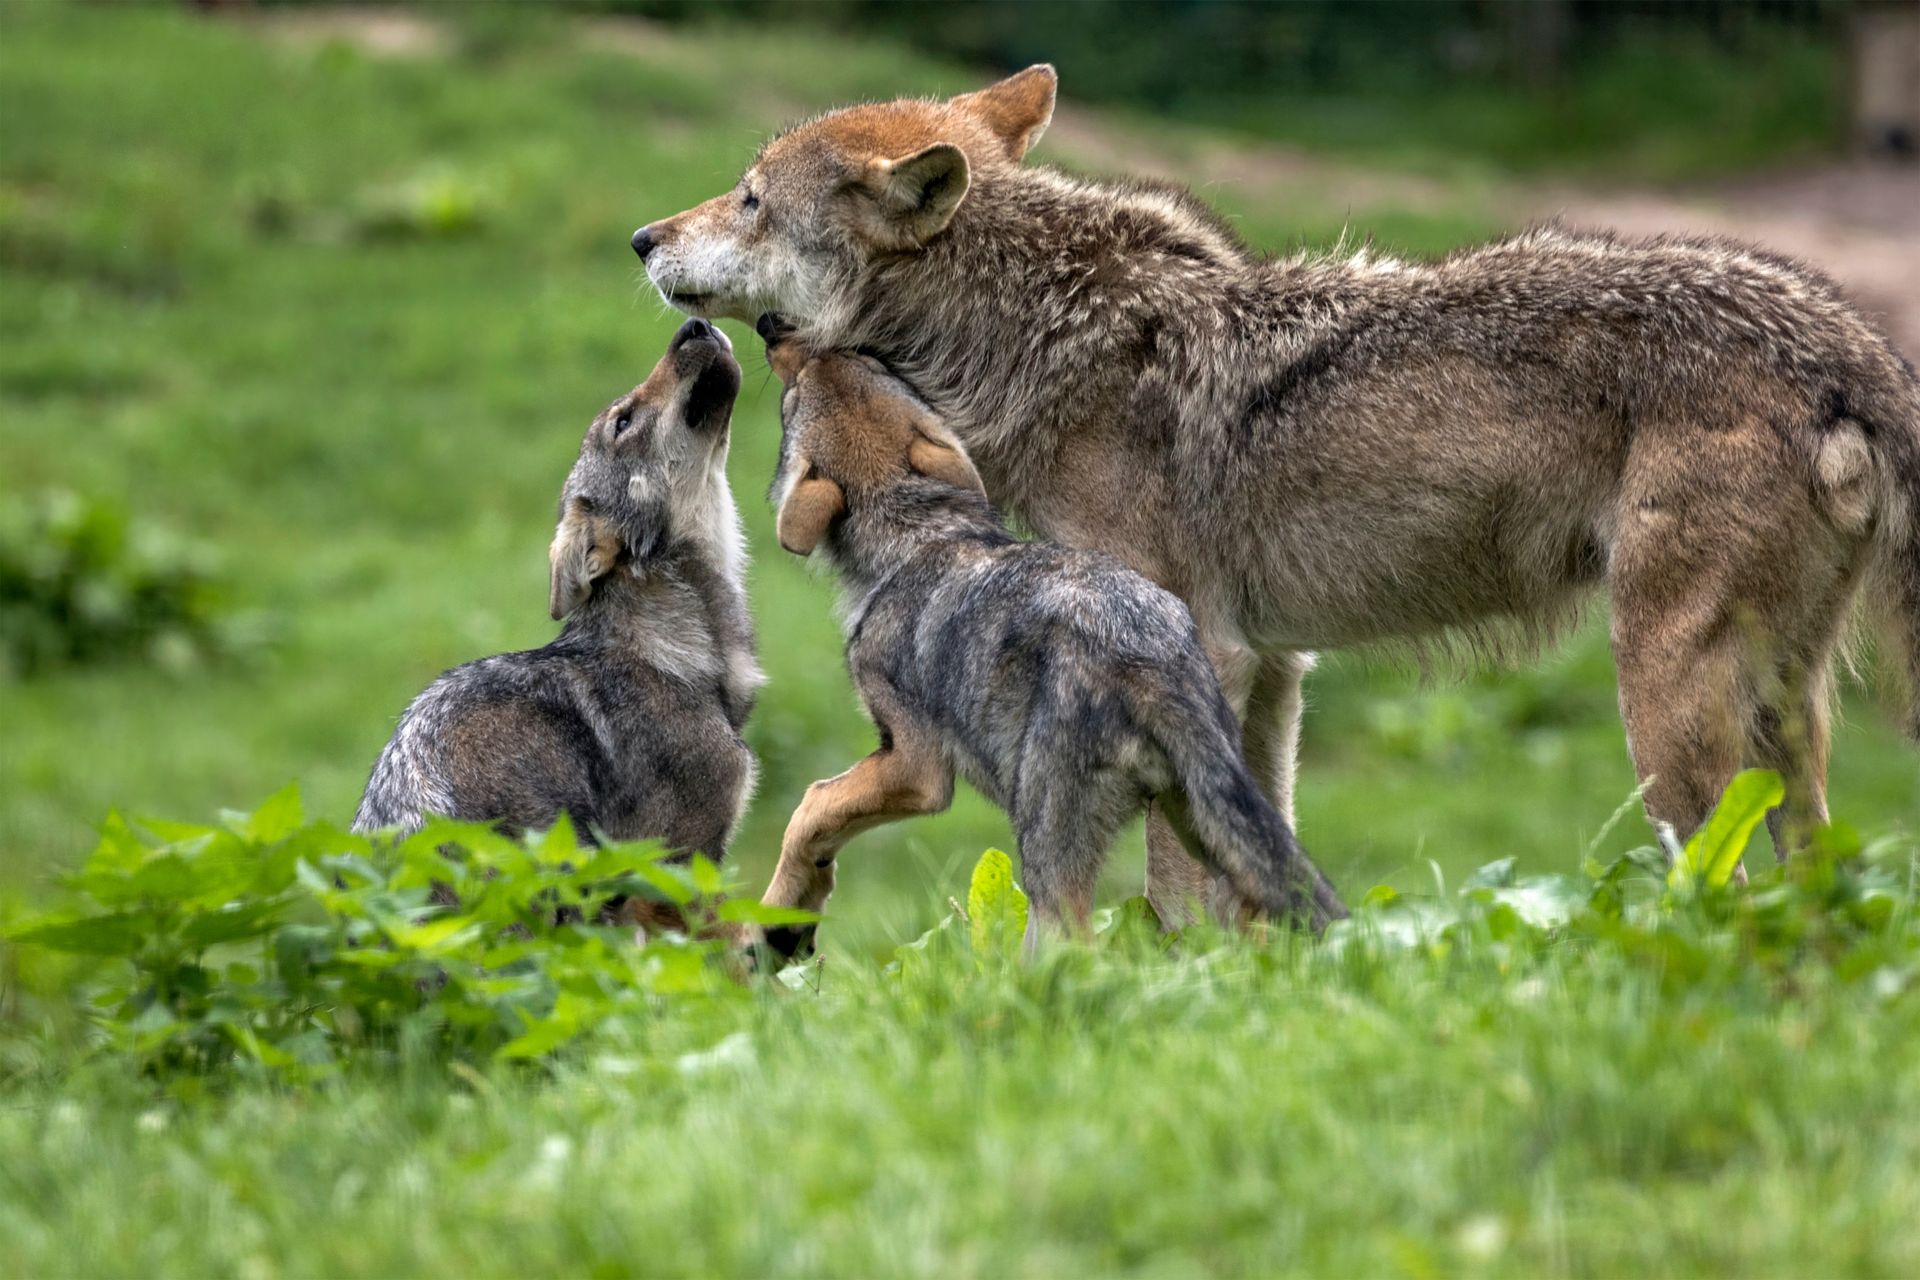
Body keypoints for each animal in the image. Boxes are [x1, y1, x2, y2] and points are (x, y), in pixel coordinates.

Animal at [754, 321, 1346, 955]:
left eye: (791, 396)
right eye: (867, 361)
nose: (772, 328)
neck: (919, 535)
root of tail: (1151, 661)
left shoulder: (916, 767)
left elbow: (810, 807)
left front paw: (774, 918)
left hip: (1046, 853)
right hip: (1210, 828)